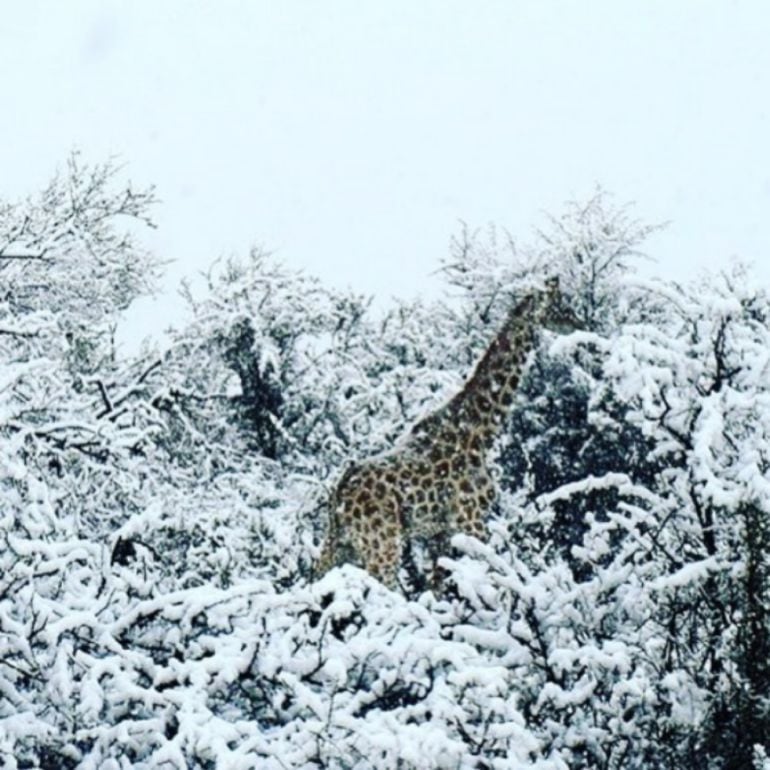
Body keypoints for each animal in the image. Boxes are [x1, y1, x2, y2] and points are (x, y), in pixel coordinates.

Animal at [316, 276, 580, 588]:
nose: (578, 321)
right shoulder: (471, 520)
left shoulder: (438, 533)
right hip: (382, 543)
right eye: (560, 303)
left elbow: (439, 587)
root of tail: (340, 491)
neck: (480, 431)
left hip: (341, 544)